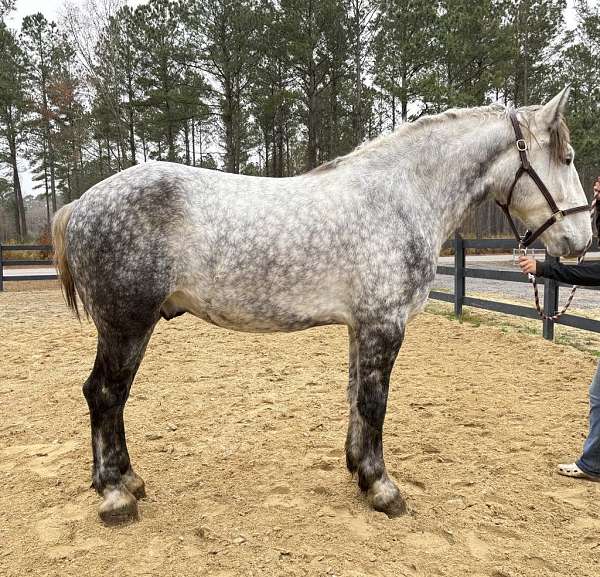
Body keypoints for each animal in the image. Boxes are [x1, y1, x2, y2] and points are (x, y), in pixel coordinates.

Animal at [51, 89, 592, 520]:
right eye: (566, 158)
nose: (581, 239)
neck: (401, 198)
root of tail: (82, 204)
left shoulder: (361, 326)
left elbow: (355, 398)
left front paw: (358, 471)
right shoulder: (384, 325)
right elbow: (375, 403)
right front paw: (383, 488)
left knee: (109, 397)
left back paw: (127, 481)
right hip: (126, 324)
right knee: (104, 394)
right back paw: (116, 494)